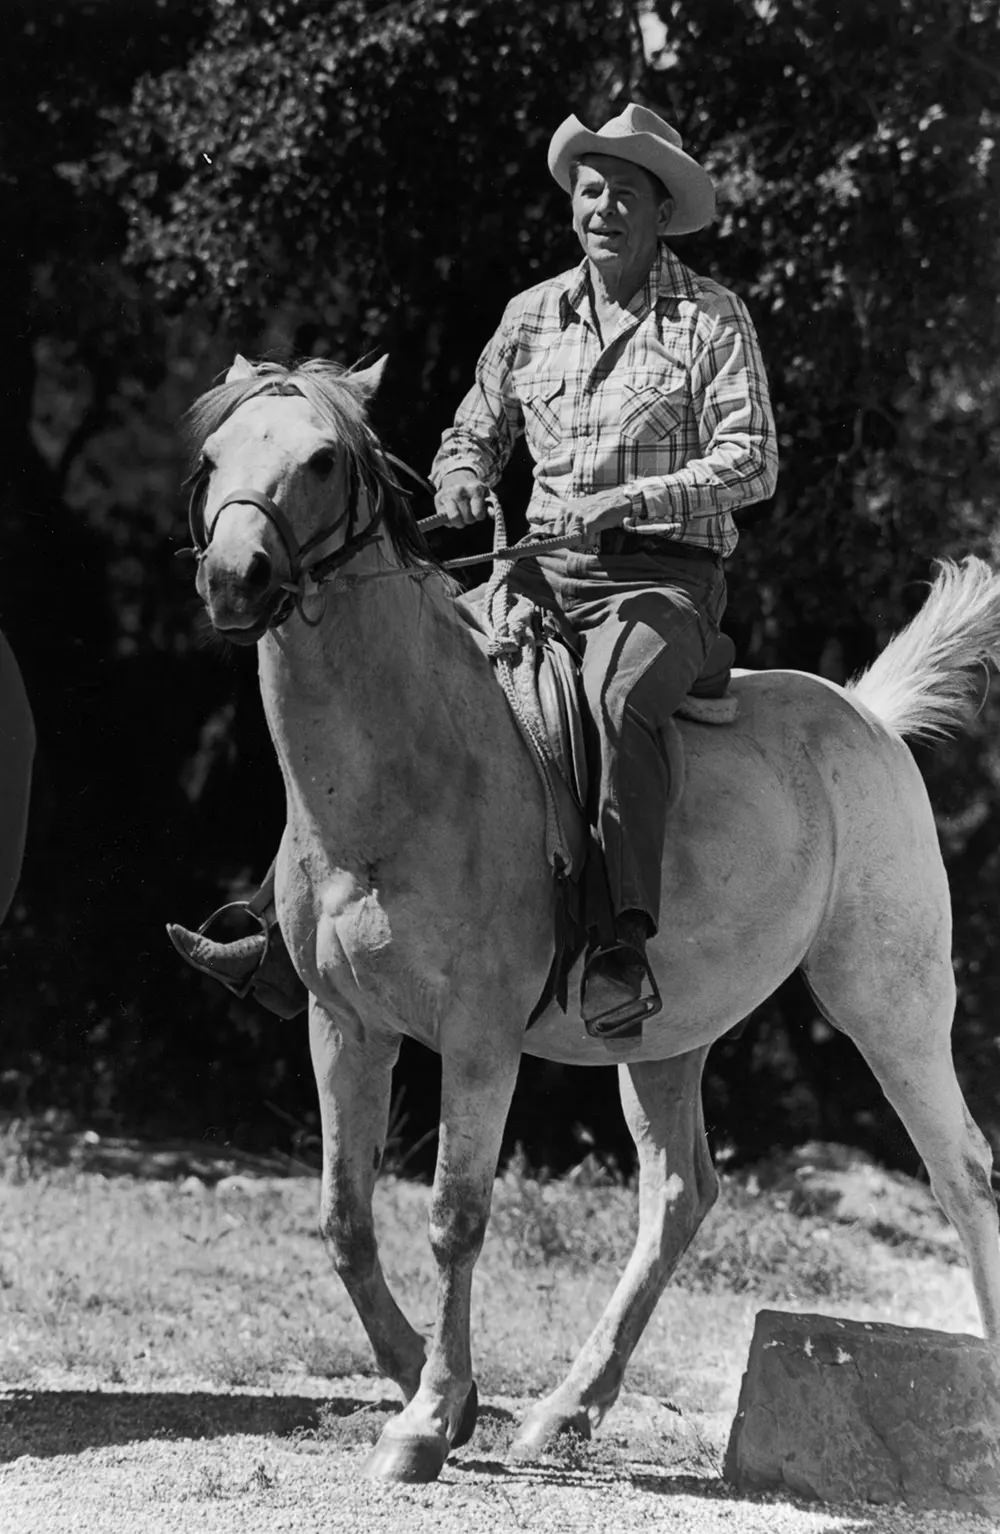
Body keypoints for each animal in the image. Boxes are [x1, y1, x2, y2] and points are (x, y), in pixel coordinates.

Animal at [179, 352, 1000, 1478]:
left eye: (320, 460)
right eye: (214, 455)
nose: (235, 578)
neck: (402, 774)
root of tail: (868, 718)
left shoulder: (479, 1041)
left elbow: (455, 1218)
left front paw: (428, 1418)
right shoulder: (344, 1026)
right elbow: (345, 1219)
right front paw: (430, 1385)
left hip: (892, 1008)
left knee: (962, 1174)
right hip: (663, 1039)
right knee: (678, 1198)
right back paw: (567, 1406)